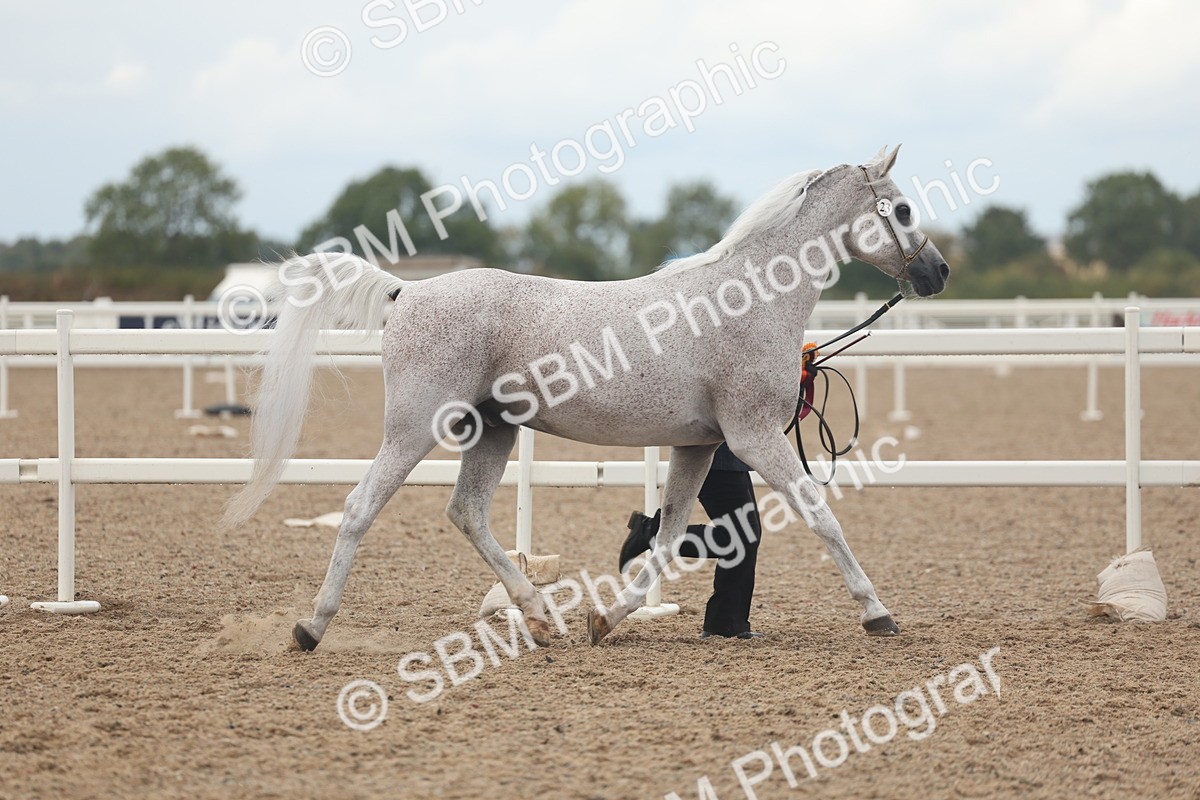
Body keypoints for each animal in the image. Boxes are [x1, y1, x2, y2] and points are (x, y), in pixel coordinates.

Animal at [224, 145, 949, 651]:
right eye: (903, 209)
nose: (938, 271)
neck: (748, 300)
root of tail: (408, 292)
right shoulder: (755, 438)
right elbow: (823, 518)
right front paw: (878, 614)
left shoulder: (699, 446)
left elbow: (667, 538)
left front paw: (608, 618)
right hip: (413, 429)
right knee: (358, 509)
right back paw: (311, 628)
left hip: (493, 430)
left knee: (467, 513)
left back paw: (545, 620)